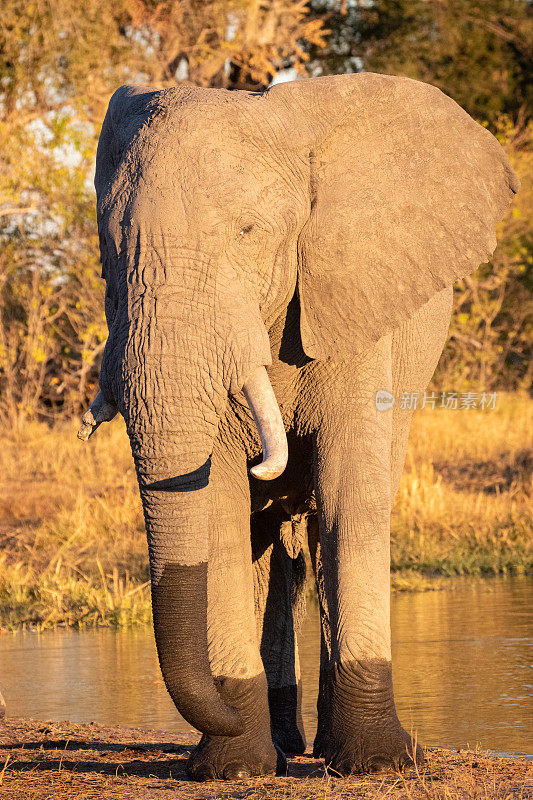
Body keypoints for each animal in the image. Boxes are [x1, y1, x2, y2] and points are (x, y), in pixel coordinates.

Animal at [77, 72, 516, 780]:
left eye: (249, 232)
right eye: (109, 250)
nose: (218, 719)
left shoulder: (350, 305)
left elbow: (347, 498)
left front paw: (379, 763)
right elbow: (221, 514)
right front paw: (232, 767)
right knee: (267, 543)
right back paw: (281, 747)